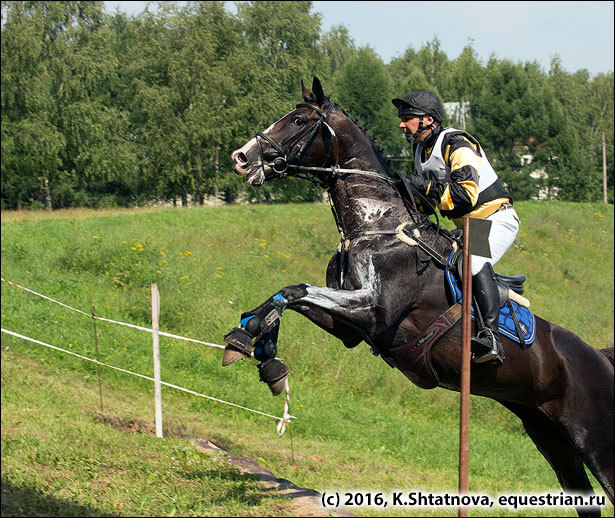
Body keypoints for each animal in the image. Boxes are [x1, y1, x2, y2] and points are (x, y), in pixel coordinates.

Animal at [226, 76, 615, 516]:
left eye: (298, 121)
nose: (241, 157)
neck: (377, 226)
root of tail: (601, 358)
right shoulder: (349, 327)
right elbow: (286, 295)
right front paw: (252, 344)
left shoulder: (374, 312)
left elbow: (295, 291)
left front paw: (255, 347)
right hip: (548, 434)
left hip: (596, 441)